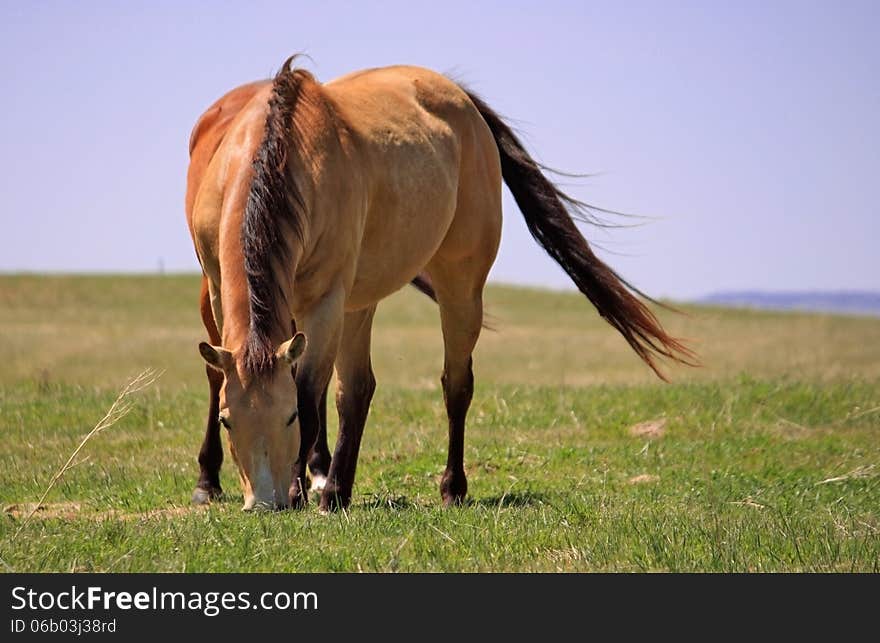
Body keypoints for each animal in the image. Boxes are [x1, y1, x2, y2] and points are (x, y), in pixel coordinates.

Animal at [186, 59, 696, 512]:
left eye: (287, 416)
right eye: (228, 421)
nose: (264, 503)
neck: (281, 158)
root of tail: (460, 98)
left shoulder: (327, 299)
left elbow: (310, 392)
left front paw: (298, 492)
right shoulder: (223, 288)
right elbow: (239, 376)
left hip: (457, 287)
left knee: (454, 384)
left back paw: (443, 488)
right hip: (354, 300)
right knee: (356, 389)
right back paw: (328, 489)